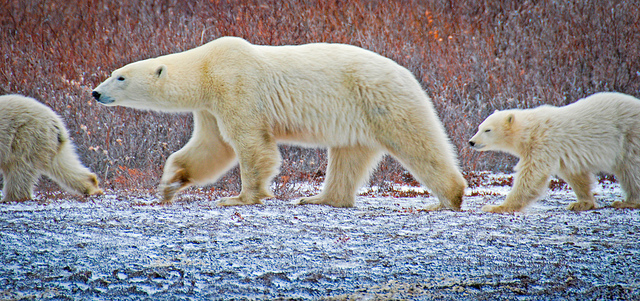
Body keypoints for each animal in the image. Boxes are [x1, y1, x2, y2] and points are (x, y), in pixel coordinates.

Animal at [92, 35, 468, 209]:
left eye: (120, 77)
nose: (95, 92)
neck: (206, 68)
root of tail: (408, 73)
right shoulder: (210, 107)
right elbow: (210, 147)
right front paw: (170, 183)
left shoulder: (236, 86)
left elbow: (249, 144)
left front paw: (241, 197)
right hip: (358, 116)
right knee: (349, 155)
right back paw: (321, 199)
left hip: (382, 100)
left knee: (418, 143)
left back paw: (447, 197)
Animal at [468, 92, 640, 212]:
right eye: (479, 127)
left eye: (487, 130)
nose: (471, 142)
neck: (530, 130)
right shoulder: (564, 153)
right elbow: (576, 175)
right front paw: (582, 203)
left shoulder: (543, 144)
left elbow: (531, 176)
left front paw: (496, 207)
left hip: (629, 137)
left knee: (631, 170)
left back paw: (628, 201)